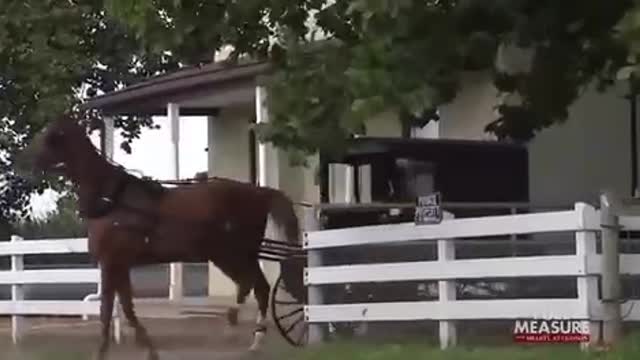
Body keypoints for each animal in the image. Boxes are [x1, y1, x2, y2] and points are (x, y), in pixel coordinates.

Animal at [19, 116, 300, 360]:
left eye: (50, 136)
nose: (22, 162)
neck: (111, 200)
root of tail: (259, 192)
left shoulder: (112, 262)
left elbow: (111, 309)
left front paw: (116, 351)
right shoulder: (119, 265)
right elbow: (122, 307)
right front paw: (145, 349)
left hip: (233, 253)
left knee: (254, 286)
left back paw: (239, 329)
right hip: (233, 255)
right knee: (256, 286)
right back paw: (250, 337)